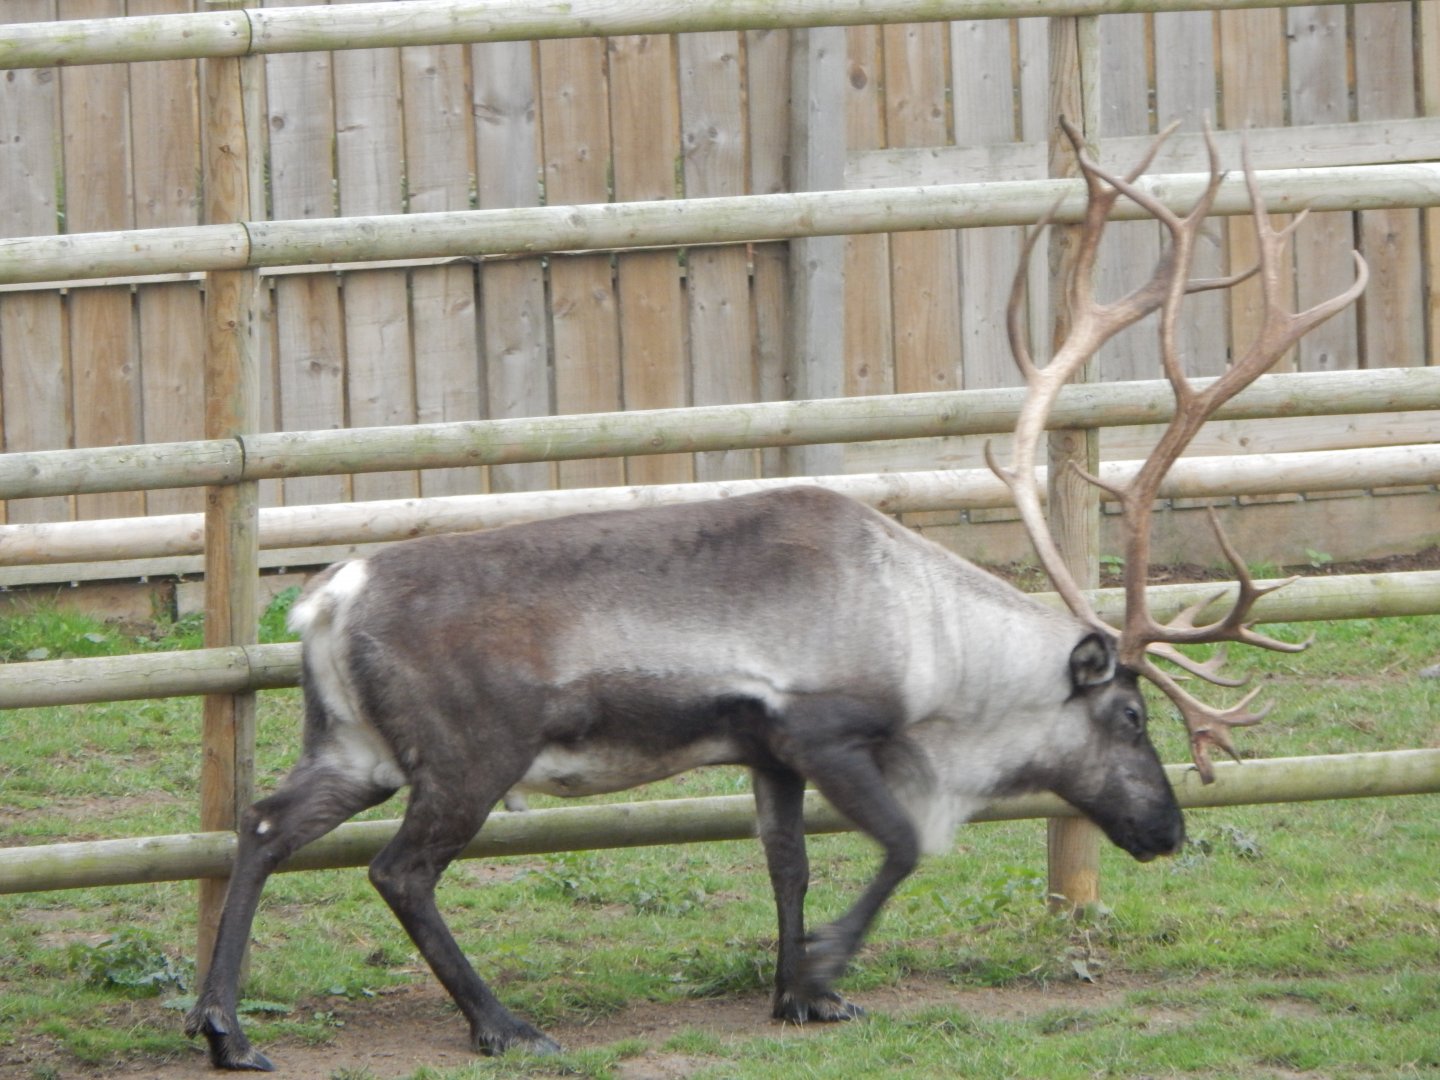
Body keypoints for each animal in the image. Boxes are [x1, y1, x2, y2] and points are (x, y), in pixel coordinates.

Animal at [186, 120, 1365, 1071]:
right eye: (1127, 714)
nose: (1168, 830)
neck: (937, 642)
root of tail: (328, 600)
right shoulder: (823, 729)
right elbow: (905, 842)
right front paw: (828, 967)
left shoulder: (766, 755)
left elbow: (788, 864)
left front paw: (799, 992)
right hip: (470, 755)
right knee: (400, 873)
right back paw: (502, 1024)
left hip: (357, 746)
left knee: (263, 824)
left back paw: (225, 1028)